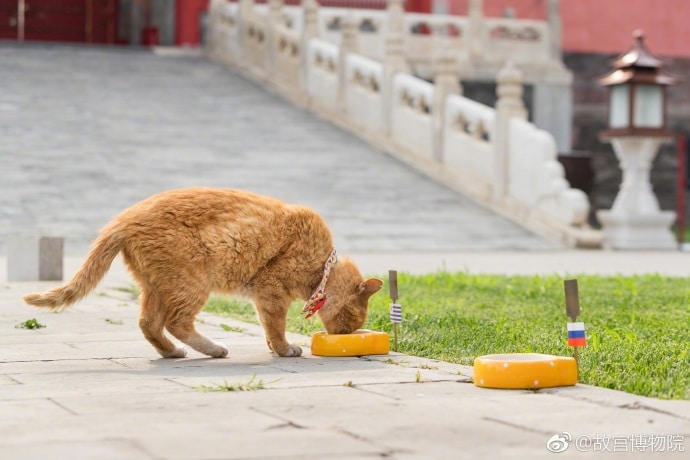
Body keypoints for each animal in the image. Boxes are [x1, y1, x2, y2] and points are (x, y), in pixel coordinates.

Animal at [24, 188, 382, 360]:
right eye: (352, 321)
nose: (346, 335)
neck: (322, 267)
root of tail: (123, 219)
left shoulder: (263, 295)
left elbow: (268, 326)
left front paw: (271, 346)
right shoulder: (271, 290)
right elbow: (276, 325)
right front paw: (283, 349)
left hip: (157, 287)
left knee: (149, 323)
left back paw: (172, 353)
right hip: (192, 284)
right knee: (177, 323)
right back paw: (213, 349)